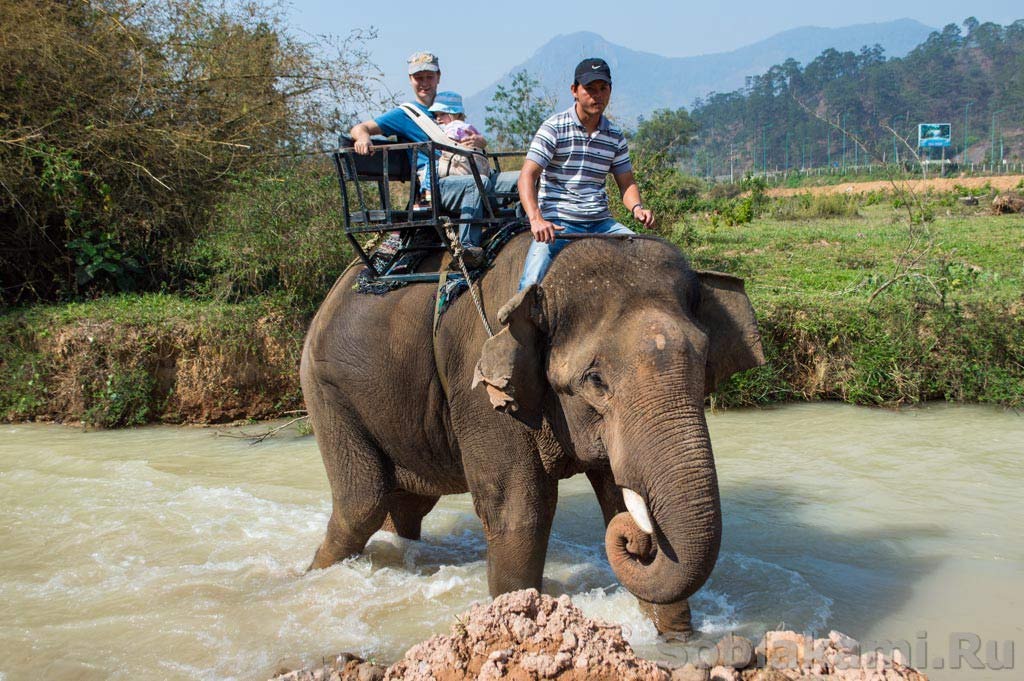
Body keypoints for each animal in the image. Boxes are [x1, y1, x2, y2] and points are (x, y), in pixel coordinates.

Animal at [299, 232, 765, 630]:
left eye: (705, 367)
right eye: (595, 381)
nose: (635, 541)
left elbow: (617, 500)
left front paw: (677, 643)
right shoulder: (482, 386)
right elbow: (519, 511)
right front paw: (515, 614)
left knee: (405, 506)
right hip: (326, 392)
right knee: (362, 504)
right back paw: (312, 575)